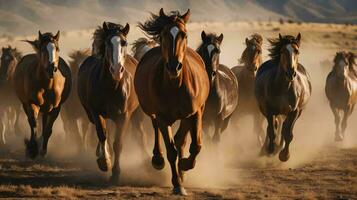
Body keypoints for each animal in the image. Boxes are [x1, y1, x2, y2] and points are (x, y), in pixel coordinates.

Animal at [13, 31, 71, 159]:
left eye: (57, 48)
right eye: (43, 49)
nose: (51, 68)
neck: (47, 85)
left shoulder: (56, 108)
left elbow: (48, 130)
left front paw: (43, 151)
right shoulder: (32, 103)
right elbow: (34, 125)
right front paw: (32, 149)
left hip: (46, 109)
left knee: (44, 125)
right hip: (26, 104)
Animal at [78, 21, 139, 183]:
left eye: (124, 42)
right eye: (107, 43)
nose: (117, 70)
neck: (112, 86)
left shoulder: (124, 116)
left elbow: (118, 143)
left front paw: (116, 173)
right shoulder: (96, 112)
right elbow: (102, 134)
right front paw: (105, 162)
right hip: (90, 114)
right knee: (100, 131)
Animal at [136, 8, 209, 195]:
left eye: (184, 34)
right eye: (164, 35)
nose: (174, 66)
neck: (176, 85)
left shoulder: (195, 113)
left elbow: (195, 145)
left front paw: (185, 165)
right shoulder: (162, 117)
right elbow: (171, 151)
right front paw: (177, 184)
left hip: (187, 116)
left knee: (181, 140)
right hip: (152, 112)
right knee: (156, 127)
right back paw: (158, 159)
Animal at [254, 32, 310, 161]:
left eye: (297, 51)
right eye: (283, 51)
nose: (290, 73)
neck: (284, 88)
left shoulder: (294, 112)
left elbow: (288, 133)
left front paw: (284, 155)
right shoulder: (269, 110)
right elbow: (272, 131)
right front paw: (270, 150)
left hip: (294, 113)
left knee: (283, 127)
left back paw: (279, 147)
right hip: (265, 110)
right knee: (273, 127)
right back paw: (267, 149)